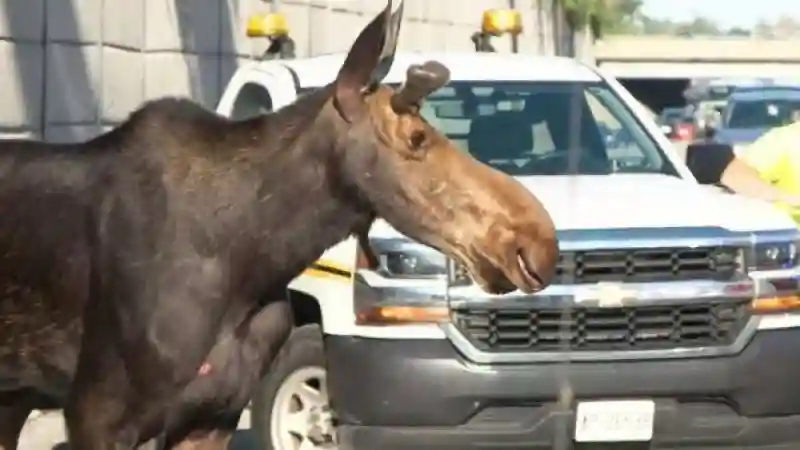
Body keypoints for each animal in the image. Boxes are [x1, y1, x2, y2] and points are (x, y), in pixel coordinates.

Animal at [0, 0, 560, 450]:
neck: (251, 260)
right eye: (417, 137)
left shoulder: (213, 416)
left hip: (15, 395)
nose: (538, 240)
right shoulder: (97, 414)